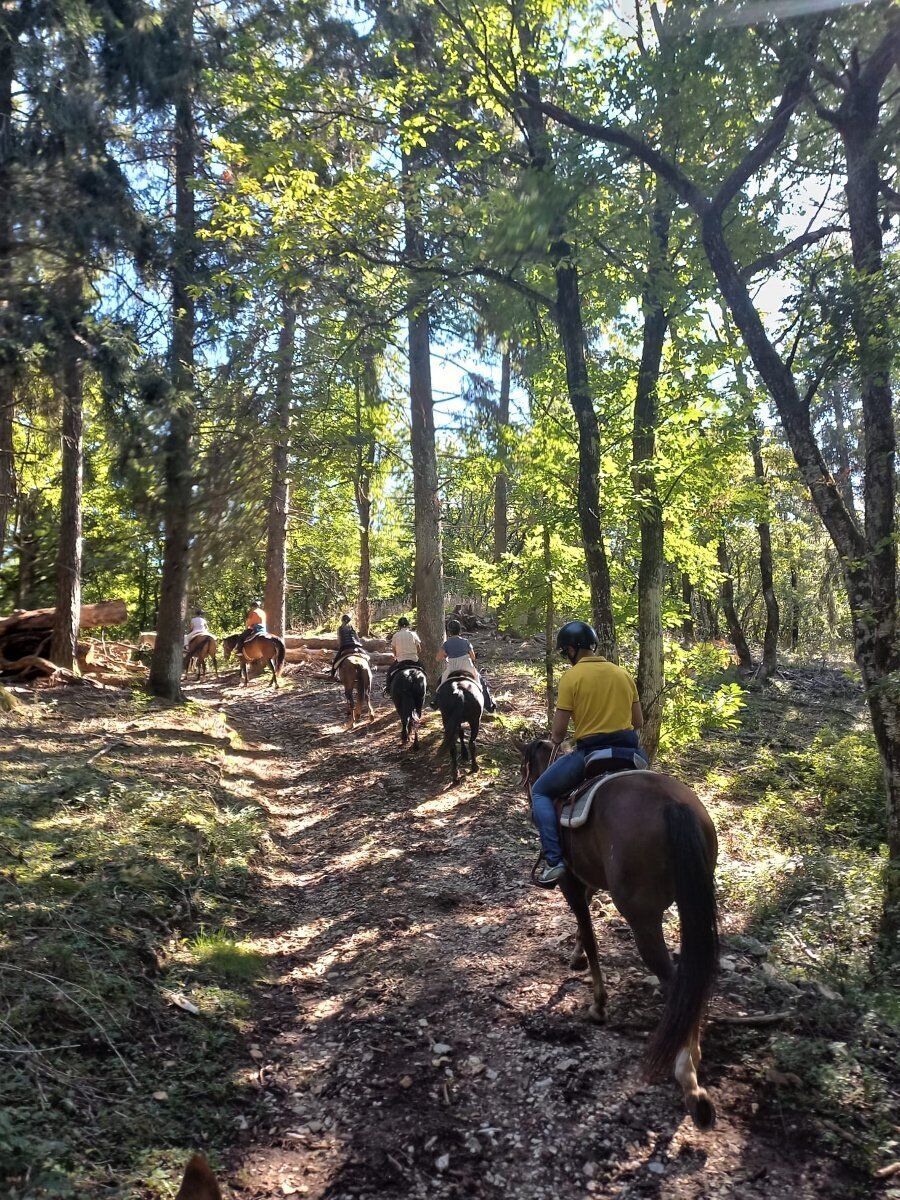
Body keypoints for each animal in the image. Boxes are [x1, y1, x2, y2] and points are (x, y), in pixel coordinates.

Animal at [520, 734, 720, 1128]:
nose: (526, 788)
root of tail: (673, 805)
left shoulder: (568, 879)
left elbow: (589, 933)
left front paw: (598, 1004)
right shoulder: (589, 875)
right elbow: (585, 922)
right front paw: (576, 956)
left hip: (641, 915)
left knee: (674, 978)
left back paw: (687, 1075)